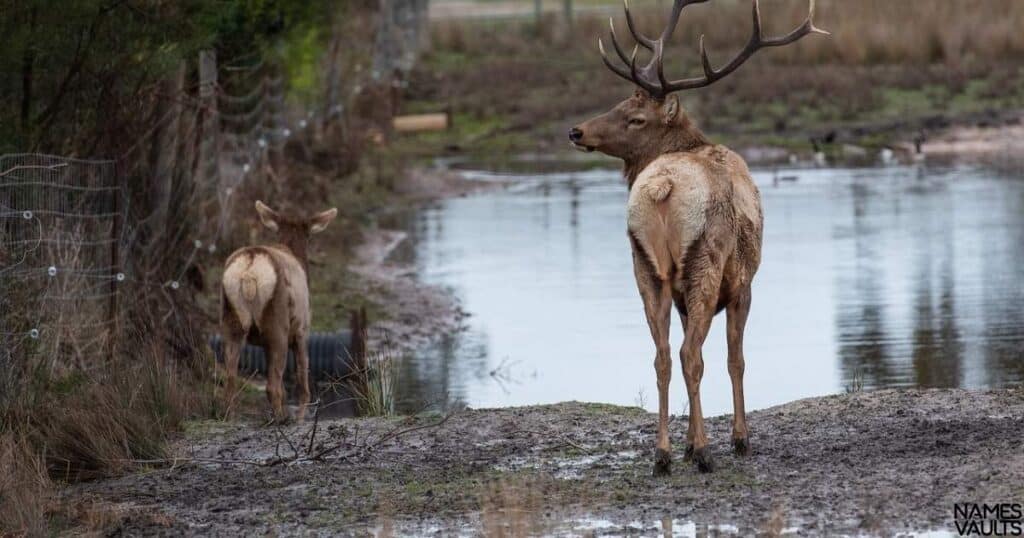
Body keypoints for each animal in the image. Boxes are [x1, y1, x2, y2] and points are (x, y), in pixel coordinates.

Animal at [222, 198, 337, 422]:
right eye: (309, 236)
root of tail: (249, 272)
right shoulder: (302, 329)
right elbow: (303, 380)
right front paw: (301, 417)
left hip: (232, 320)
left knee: (230, 378)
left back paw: (229, 417)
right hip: (277, 324)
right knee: (272, 386)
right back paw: (281, 419)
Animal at [573, 0, 827, 471]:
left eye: (633, 115)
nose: (576, 131)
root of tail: (662, 187)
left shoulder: (678, 293)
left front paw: (690, 442)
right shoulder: (744, 283)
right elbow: (735, 359)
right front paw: (736, 439)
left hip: (646, 267)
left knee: (663, 356)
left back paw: (663, 455)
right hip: (705, 260)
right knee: (691, 355)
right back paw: (707, 453)